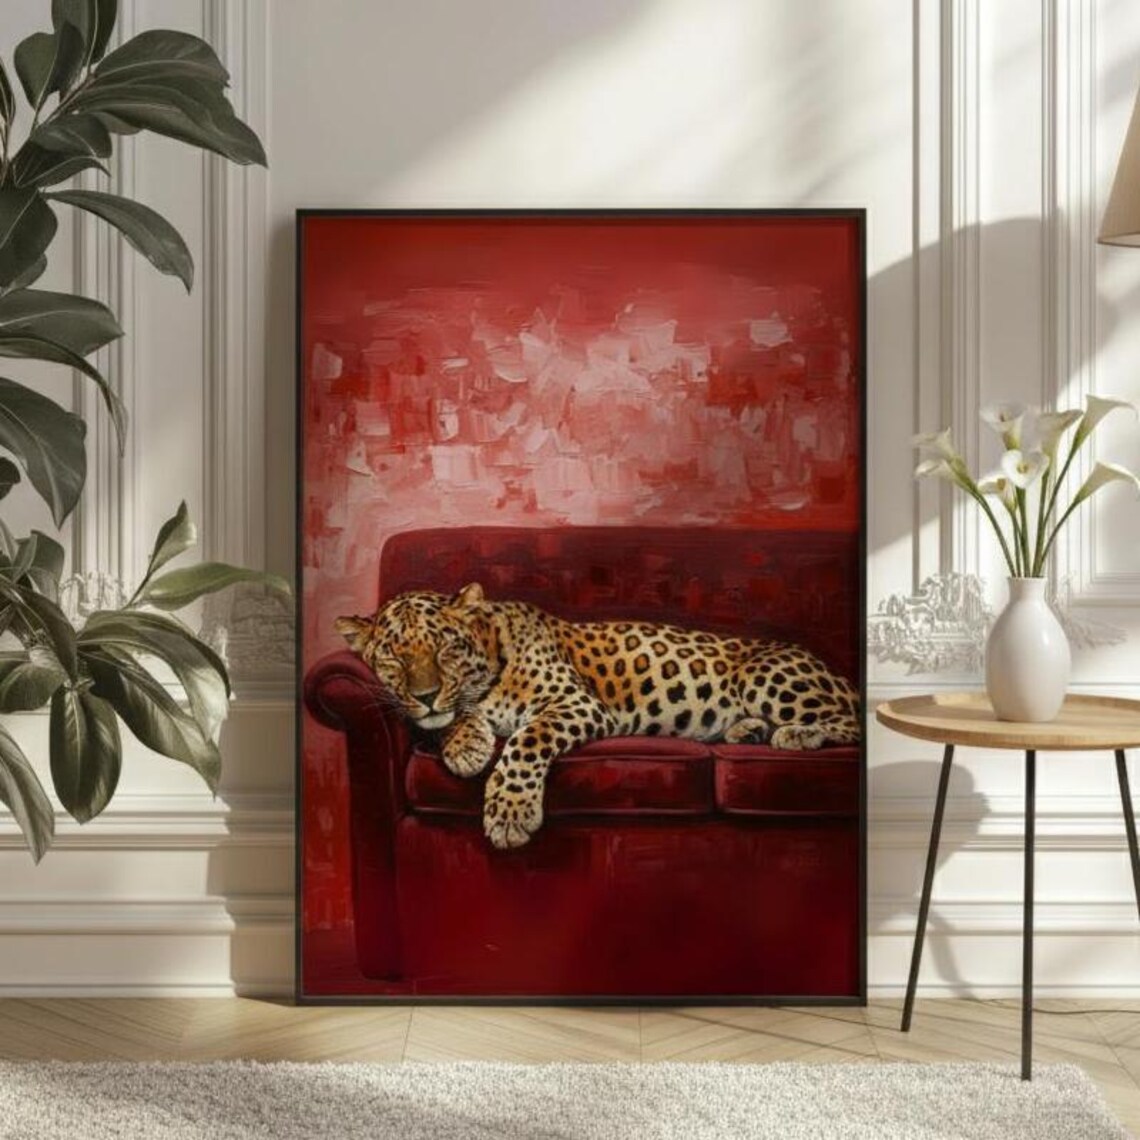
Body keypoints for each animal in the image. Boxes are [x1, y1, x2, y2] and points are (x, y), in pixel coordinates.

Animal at [336, 583, 861, 850]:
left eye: (444, 647)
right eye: (393, 656)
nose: (424, 695)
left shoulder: (574, 702)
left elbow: (524, 742)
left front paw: (509, 815)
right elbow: (453, 720)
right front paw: (465, 744)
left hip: (765, 676)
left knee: (849, 722)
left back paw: (796, 734)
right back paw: (748, 731)